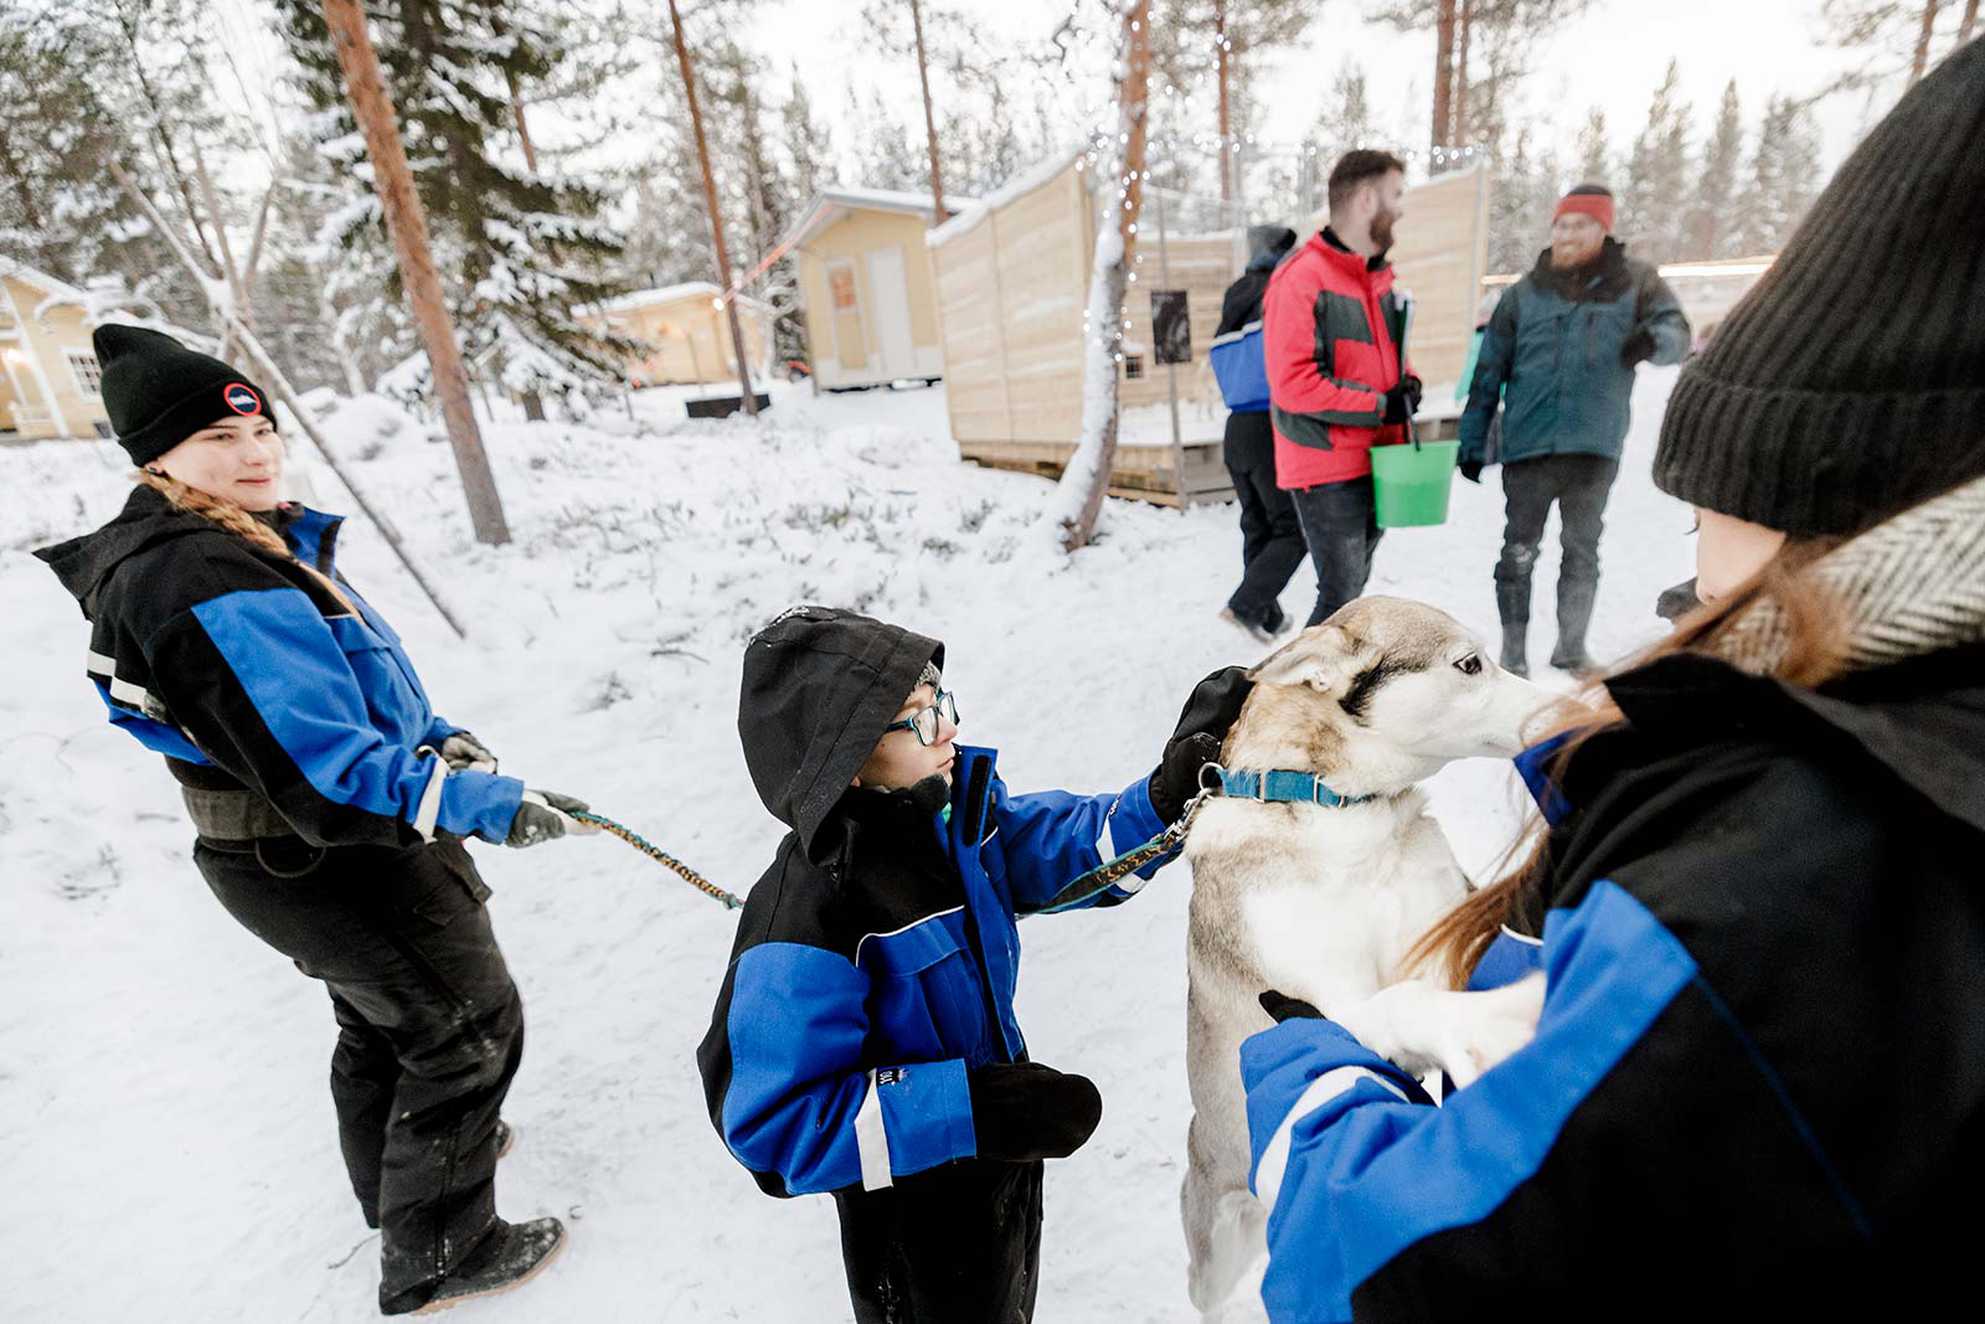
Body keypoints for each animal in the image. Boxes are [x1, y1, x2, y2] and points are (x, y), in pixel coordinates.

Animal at [1183, 603, 1556, 1324]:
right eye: (1469, 663)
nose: (1559, 710)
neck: (1350, 823)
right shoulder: (1328, 1004)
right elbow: (1399, 1006)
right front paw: (1485, 1028)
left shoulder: (1442, 938)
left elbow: (1435, 988)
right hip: (1215, 1247)